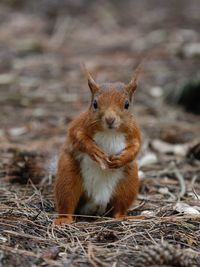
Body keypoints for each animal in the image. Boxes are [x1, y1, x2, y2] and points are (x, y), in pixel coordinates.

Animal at [54, 66, 141, 225]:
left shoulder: (134, 132)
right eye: (94, 104)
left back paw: (124, 217)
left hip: (129, 182)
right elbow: (79, 138)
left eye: (126, 105)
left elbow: (136, 147)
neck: (109, 132)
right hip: (68, 174)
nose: (110, 119)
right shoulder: (79, 124)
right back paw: (64, 219)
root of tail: (97, 199)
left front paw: (122, 158)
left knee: (119, 207)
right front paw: (95, 151)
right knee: (67, 200)